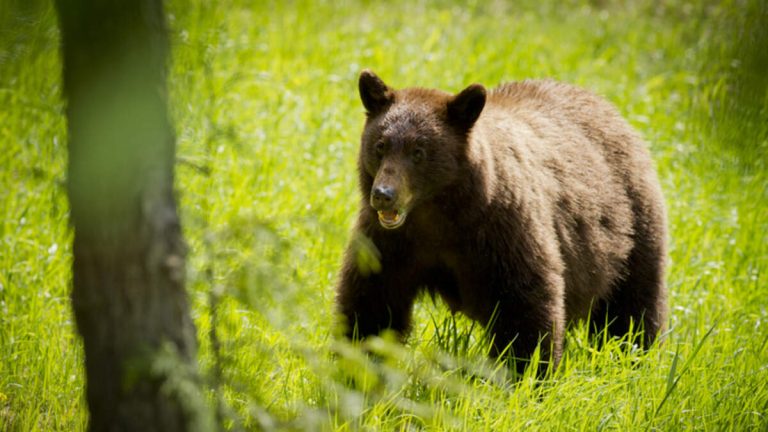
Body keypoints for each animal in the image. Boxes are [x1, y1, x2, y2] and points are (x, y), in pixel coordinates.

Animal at [336, 70, 667, 374]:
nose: (383, 195)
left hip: (633, 225)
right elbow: (372, 304)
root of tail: (605, 105)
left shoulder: (502, 231)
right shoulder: (389, 244)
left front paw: (525, 376)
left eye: (419, 151)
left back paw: (634, 356)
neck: (439, 218)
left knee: (632, 306)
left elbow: (525, 306)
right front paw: (356, 371)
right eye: (380, 145)